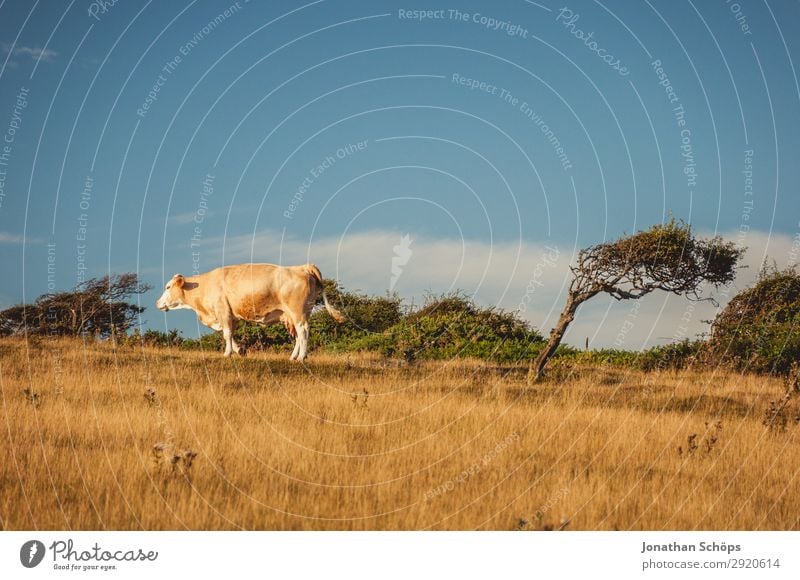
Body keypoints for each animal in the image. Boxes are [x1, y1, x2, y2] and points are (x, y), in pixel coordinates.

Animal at [156, 264, 344, 362]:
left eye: (168, 287)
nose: (157, 303)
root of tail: (302, 267)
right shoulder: (232, 315)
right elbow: (230, 334)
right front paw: (240, 350)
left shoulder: (223, 310)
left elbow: (226, 334)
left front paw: (227, 353)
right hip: (296, 314)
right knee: (298, 335)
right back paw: (293, 356)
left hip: (298, 313)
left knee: (303, 332)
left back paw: (301, 357)